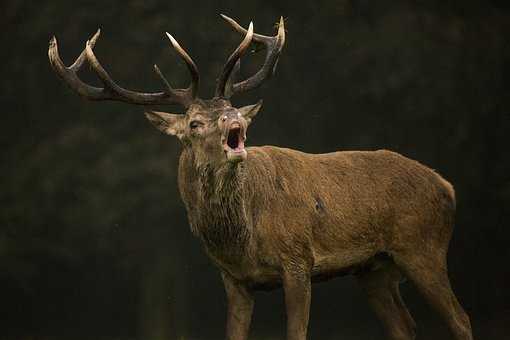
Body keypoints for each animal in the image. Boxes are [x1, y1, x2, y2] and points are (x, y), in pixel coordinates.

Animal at [48, 13, 474, 340]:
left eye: (233, 108)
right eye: (195, 123)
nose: (232, 120)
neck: (242, 237)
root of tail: (448, 187)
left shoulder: (298, 260)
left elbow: (296, 333)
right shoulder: (234, 279)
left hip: (423, 246)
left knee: (461, 319)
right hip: (374, 269)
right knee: (405, 326)